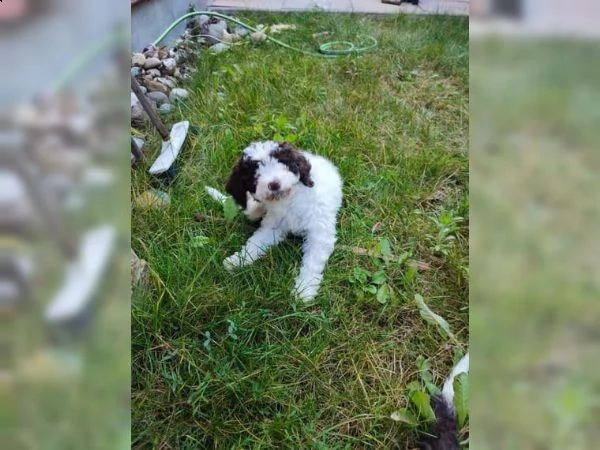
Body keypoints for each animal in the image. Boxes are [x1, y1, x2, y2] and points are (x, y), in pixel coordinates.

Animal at [217, 141, 342, 302]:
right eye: (254, 174)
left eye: (282, 163)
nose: (274, 184)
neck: (289, 199)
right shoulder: (273, 226)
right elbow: (255, 243)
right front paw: (238, 260)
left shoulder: (319, 232)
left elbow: (312, 262)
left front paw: (304, 289)